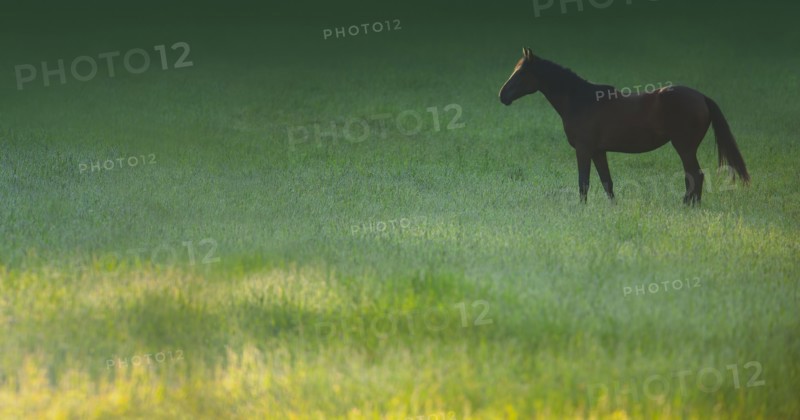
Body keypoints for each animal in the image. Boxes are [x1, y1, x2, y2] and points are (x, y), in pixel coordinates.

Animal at [498, 48, 749, 205]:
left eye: (520, 73)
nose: (502, 95)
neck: (580, 100)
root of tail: (702, 98)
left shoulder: (584, 149)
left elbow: (583, 183)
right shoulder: (598, 151)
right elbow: (606, 182)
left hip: (684, 147)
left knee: (695, 176)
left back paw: (688, 205)